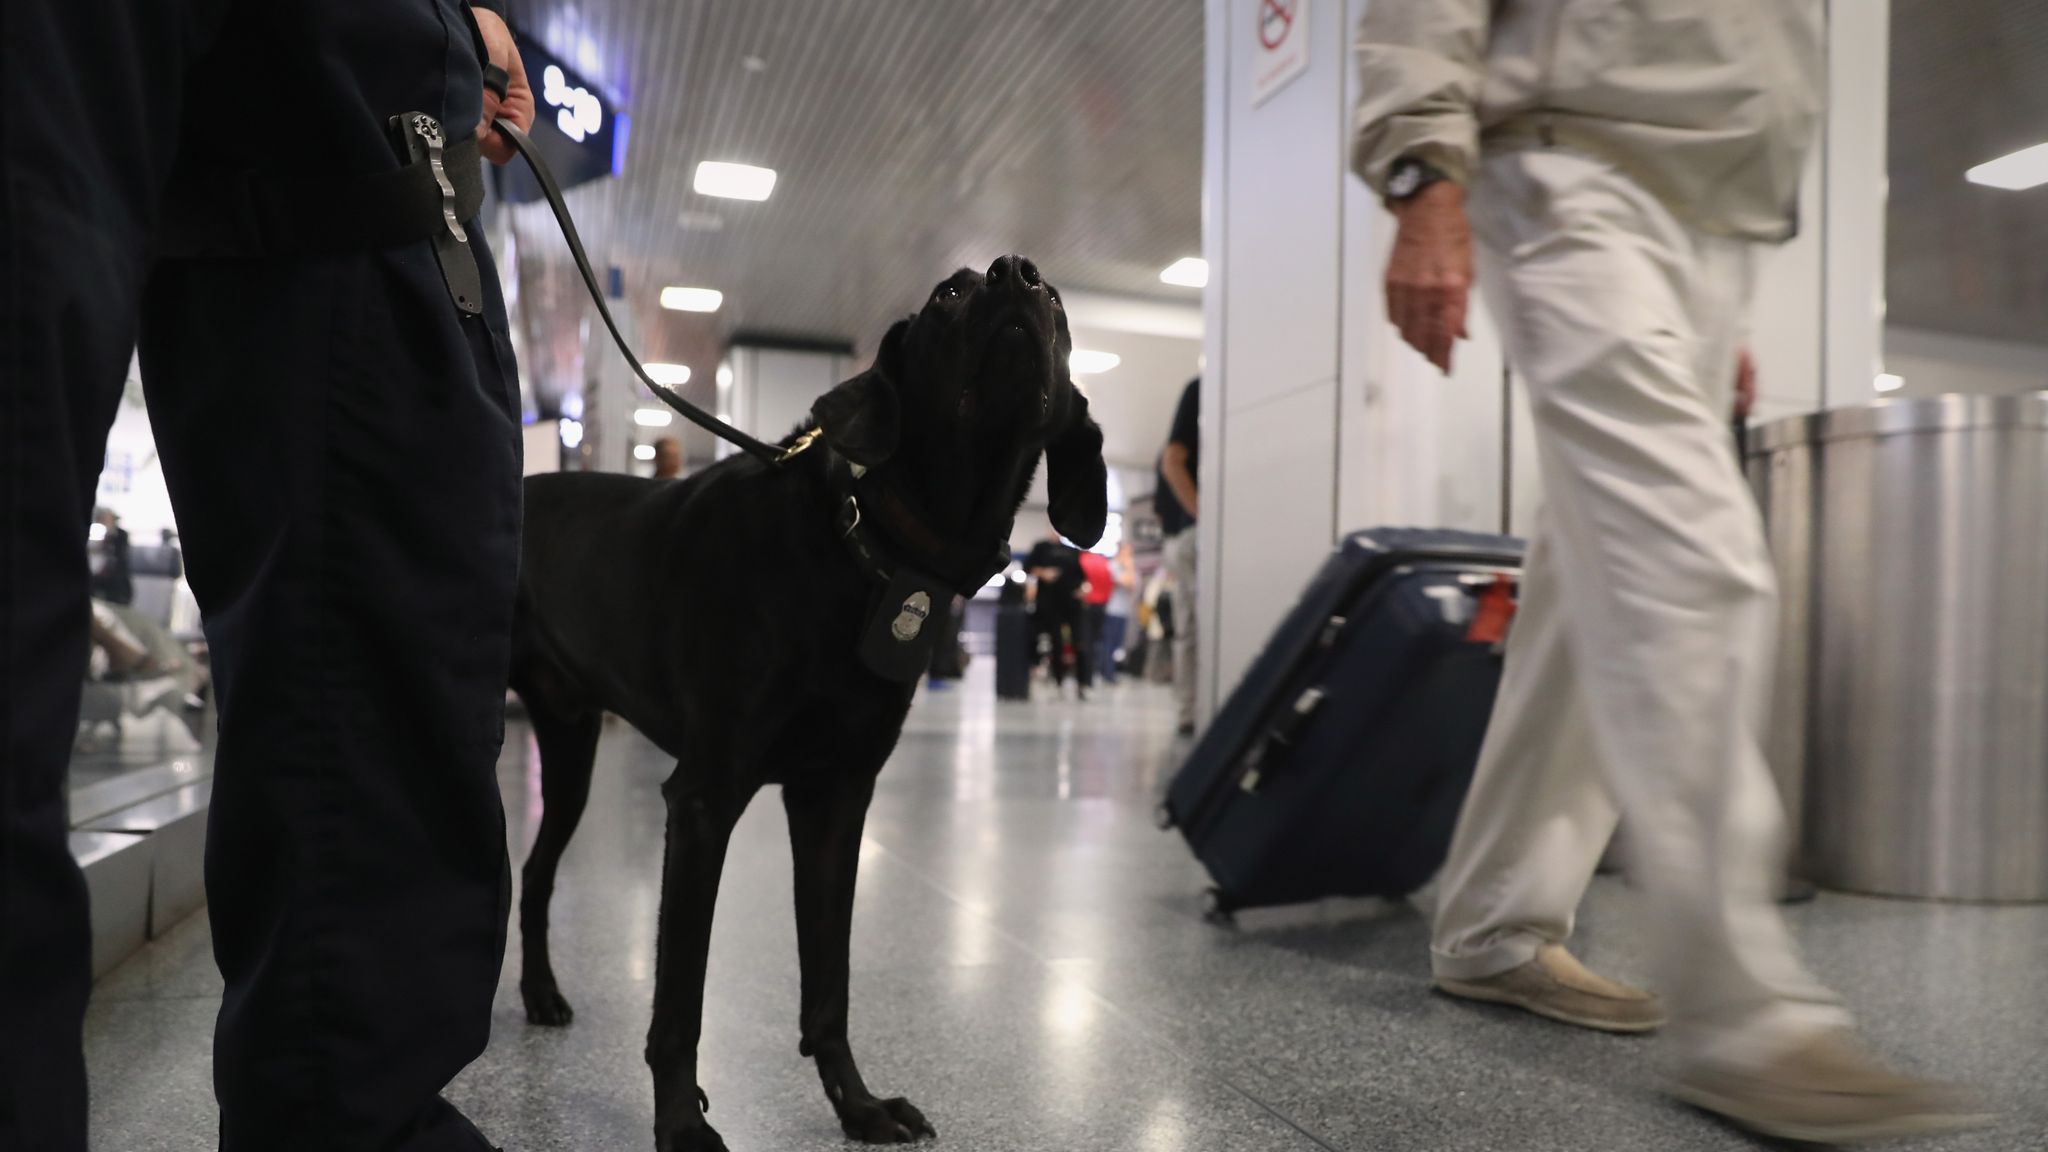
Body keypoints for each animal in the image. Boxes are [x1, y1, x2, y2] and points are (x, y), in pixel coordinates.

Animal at [505, 255, 1105, 1139]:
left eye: (1057, 302)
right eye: (949, 293)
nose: (1015, 272)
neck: (870, 542)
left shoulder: (834, 799)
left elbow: (829, 981)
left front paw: (858, 1104)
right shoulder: (704, 799)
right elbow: (680, 999)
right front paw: (681, 1123)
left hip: (572, 755)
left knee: (537, 872)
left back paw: (541, 992)